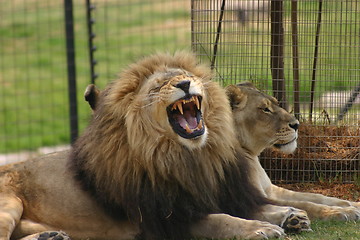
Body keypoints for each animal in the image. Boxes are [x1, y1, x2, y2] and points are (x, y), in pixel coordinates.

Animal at [0, 52, 306, 240]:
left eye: (185, 75)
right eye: (159, 86)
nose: (185, 83)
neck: (189, 158)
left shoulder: (216, 193)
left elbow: (254, 206)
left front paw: (289, 215)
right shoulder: (167, 219)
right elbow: (222, 219)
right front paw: (261, 228)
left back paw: (49, 235)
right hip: (9, 203)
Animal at [225, 82, 360, 221]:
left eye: (276, 103)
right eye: (265, 109)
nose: (296, 125)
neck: (252, 156)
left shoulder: (271, 190)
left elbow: (314, 196)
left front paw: (353, 204)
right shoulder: (251, 197)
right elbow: (305, 204)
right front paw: (342, 211)